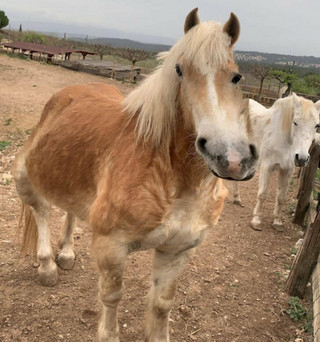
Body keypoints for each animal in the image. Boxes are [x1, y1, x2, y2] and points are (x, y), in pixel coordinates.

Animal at [13, 8, 258, 342]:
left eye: (236, 76)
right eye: (179, 71)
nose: (230, 158)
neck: (172, 179)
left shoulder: (177, 251)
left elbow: (161, 305)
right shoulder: (112, 248)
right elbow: (111, 297)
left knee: (70, 210)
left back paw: (66, 254)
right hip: (24, 179)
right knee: (41, 211)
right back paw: (48, 267)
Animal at [232, 93, 320, 231]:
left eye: (317, 125)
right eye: (295, 122)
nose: (301, 158)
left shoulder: (286, 170)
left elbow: (281, 197)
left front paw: (277, 222)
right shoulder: (267, 167)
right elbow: (262, 194)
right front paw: (256, 220)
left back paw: (237, 198)